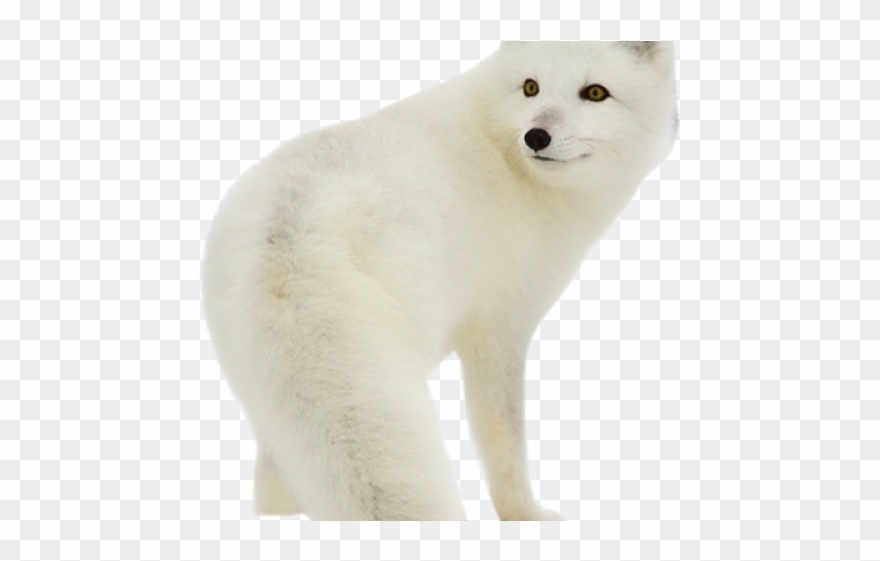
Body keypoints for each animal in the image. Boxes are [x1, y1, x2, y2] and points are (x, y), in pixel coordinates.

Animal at [201, 41, 678, 520]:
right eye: (531, 87)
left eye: (595, 93)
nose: (536, 137)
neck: (507, 159)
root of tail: (294, 228)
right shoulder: (500, 331)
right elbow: (505, 439)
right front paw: (524, 516)